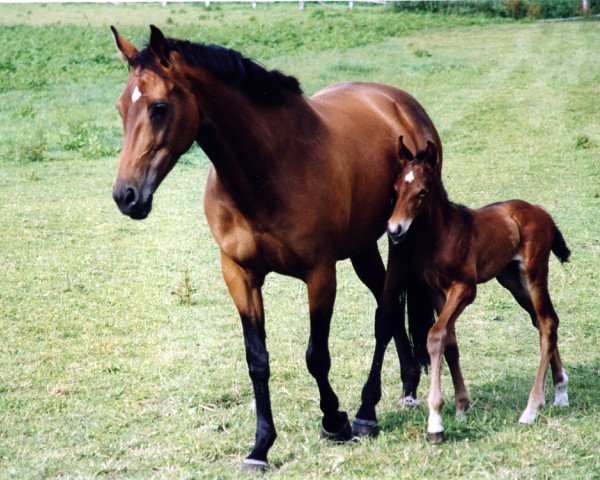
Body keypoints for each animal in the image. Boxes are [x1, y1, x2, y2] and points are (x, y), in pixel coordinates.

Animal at [110, 26, 440, 468]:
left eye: (159, 107)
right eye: (120, 108)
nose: (126, 196)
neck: (269, 167)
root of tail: (401, 103)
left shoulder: (320, 274)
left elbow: (316, 355)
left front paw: (334, 421)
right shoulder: (239, 274)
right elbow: (257, 360)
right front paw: (261, 446)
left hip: (397, 236)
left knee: (386, 313)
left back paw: (366, 412)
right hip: (362, 247)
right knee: (387, 301)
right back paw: (405, 386)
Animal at [384, 136, 572, 442]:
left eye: (422, 192)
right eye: (397, 187)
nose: (394, 229)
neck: (443, 235)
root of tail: (541, 211)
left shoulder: (465, 289)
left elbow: (435, 336)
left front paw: (436, 421)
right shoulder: (437, 292)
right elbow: (450, 342)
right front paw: (461, 409)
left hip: (533, 274)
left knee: (546, 323)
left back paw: (531, 409)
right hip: (511, 281)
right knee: (545, 320)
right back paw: (561, 392)